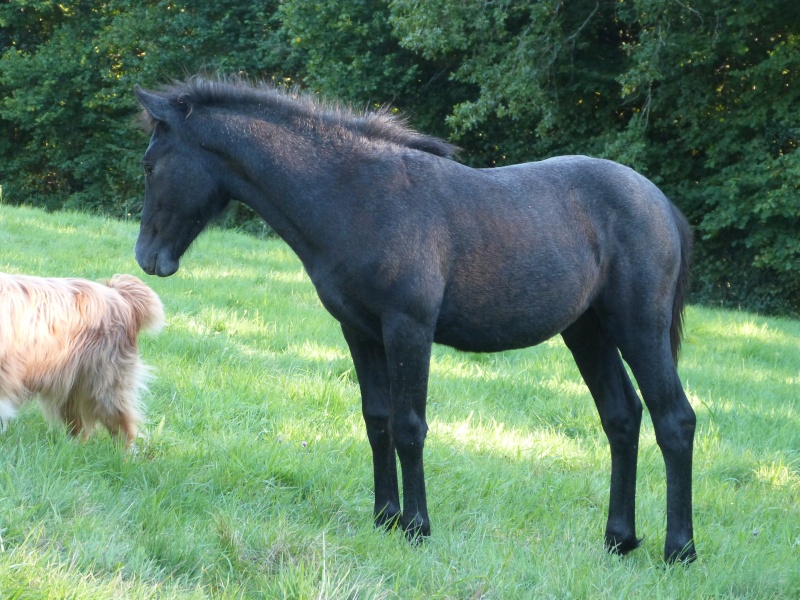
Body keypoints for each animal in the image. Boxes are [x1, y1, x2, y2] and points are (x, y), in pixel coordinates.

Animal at [0, 272, 164, 446]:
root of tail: (119, 295)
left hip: (103, 385)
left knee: (123, 430)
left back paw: (121, 453)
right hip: (70, 387)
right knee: (80, 428)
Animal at [134, 76, 696, 564]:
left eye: (150, 165)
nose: (146, 257)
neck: (355, 195)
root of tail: (662, 204)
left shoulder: (409, 327)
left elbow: (409, 426)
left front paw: (416, 527)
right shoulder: (360, 331)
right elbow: (377, 419)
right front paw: (384, 517)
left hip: (638, 329)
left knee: (675, 420)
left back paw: (680, 550)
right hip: (587, 332)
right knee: (622, 417)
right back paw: (619, 539)